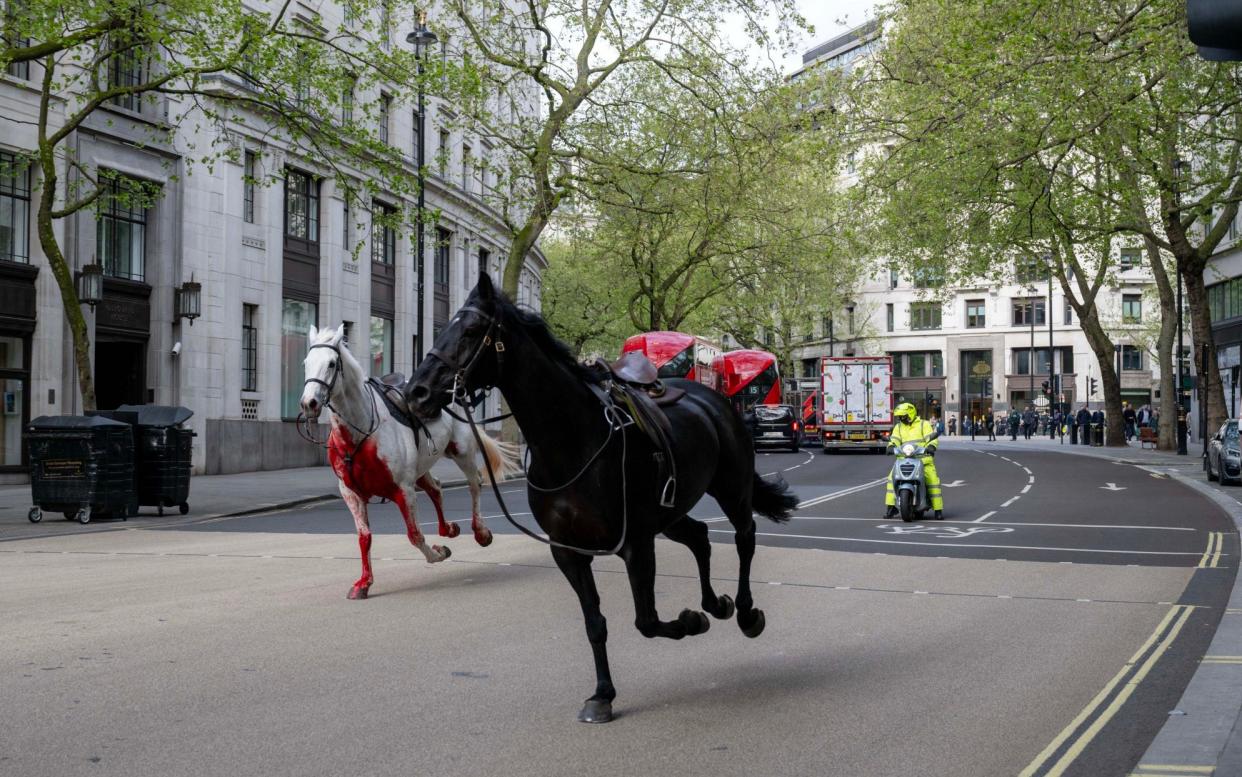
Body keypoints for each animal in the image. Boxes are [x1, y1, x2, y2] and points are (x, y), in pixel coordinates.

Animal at [298, 322, 516, 598]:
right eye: (306, 362)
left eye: (331, 363)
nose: (309, 403)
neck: (361, 431)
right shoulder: (351, 493)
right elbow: (364, 537)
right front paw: (363, 583)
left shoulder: (404, 489)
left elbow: (415, 535)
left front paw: (437, 554)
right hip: (421, 468)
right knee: (436, 489)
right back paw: (448, 529)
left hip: (462, 450)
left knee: (474, 484)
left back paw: (480, 532)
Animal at [402, 274, 799, 719]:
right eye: (446, 328)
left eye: (470, 330)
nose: (416, 392)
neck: (569, 443)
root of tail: (713, 399)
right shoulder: (568, 551)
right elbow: (595, 623)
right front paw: (603, 694)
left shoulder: (636, 543)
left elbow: (646, 620)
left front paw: (689, 622)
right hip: (670, 512)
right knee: (699, 536)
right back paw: (717, 604)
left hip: (731, 488)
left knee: (745, 537)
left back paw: (745, 611)